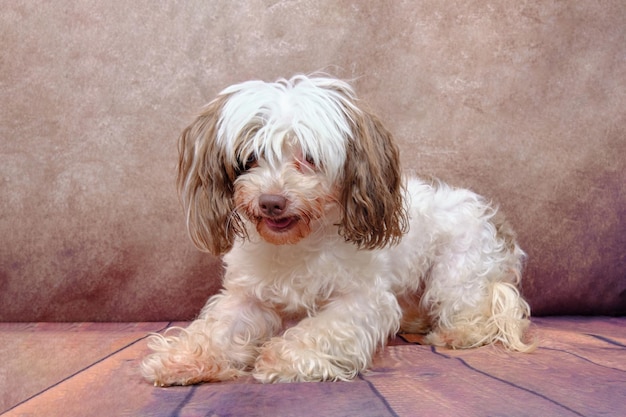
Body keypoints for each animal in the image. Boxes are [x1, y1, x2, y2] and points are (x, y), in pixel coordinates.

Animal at [141, 75, 532, 386]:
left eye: (309, 157)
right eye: (250, 157)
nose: (271, 202)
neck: (297, 244)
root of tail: (495, 221)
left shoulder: (364, 301)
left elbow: (322, 328)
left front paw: (281, 358)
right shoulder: (247, 297)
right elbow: (217, 329)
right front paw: (181, 359)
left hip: (457, 272)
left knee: (477, 315)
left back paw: (454, 333)